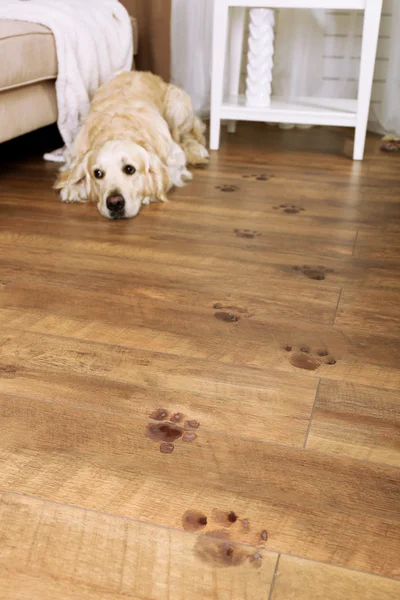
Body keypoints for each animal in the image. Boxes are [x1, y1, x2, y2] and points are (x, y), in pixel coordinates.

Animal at [55, 71, 209, 219]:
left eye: (130, 169)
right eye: (97, 173)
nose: (114, 203)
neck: (118, 129)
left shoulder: (175, 158)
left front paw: (149, 194)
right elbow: (71, 170)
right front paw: (72, 188)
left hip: (177, 106)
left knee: (187, 136)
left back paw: (197, 150)